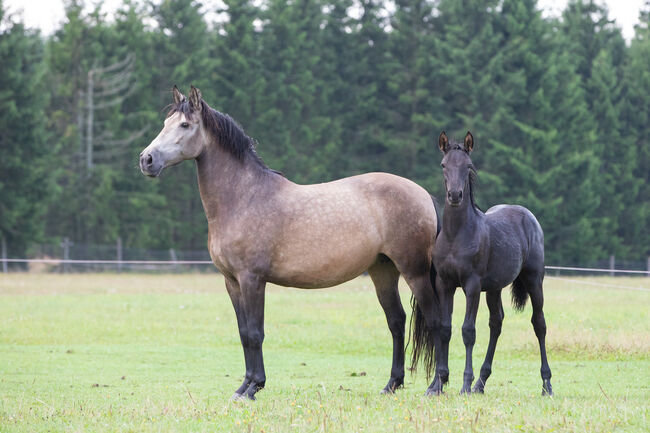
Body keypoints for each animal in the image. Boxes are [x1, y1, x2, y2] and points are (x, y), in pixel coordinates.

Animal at [430, 131, 552, 394]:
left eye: (468, 166)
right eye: (443, 165)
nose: (455, 196)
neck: (456, 235)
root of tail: (528, 216)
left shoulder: (472, 286)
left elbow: (468, 330)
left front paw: (465, 384)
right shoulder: (445, 284)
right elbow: (445, 328)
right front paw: (438, 383)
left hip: (534, 280)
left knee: (539, 323)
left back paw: (547, 384)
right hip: (494, 288)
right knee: (496, 323)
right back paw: (481, 382)